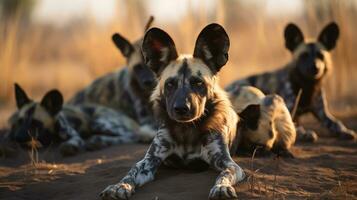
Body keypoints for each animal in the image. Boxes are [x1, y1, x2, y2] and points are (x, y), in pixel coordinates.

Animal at [5, 83, 153, 156]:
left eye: (36, 123)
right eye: (20, 121)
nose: (18, 137)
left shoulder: (73, 134)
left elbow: (73, 142)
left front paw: (70, 147)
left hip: (98, 122)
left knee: (133, 135)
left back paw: (98, 141)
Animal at [100, 23, 245, 200]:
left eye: (198, 83)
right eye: (170, 84)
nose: (181, 108)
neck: (186, 131)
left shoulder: (228, 163)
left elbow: (225, 174)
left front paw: (221, 187)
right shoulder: (149, 161)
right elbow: (131, 172)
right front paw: (119, 186)